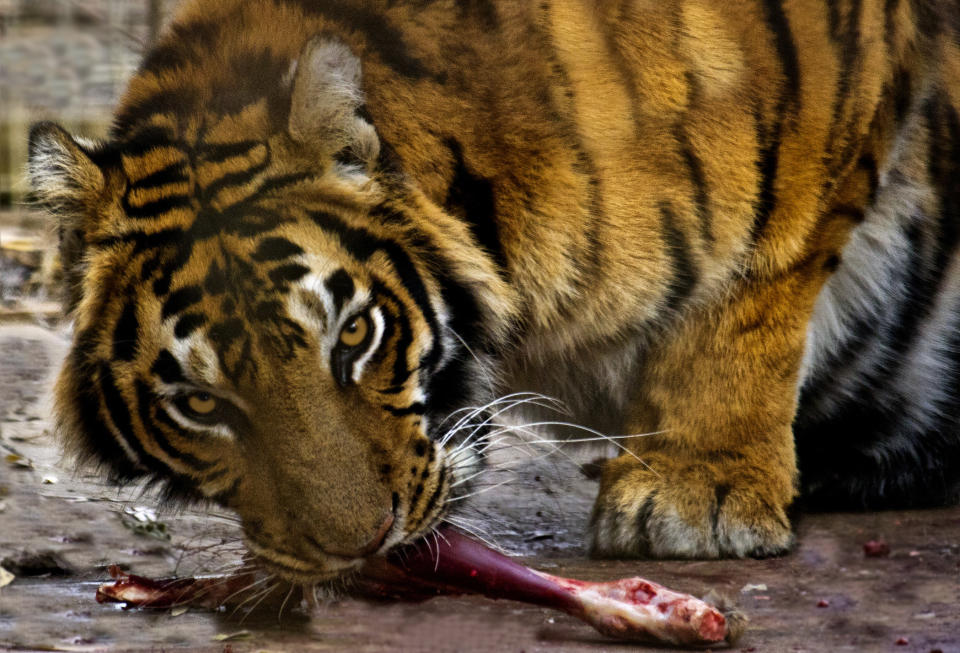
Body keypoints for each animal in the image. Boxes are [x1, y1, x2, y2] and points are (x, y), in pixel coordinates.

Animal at [26, 0, 960, 580]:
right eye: (198, 403)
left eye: (354, 335)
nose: (362, 543)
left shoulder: (827, 102)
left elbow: (753, 291)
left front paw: (699, 493)